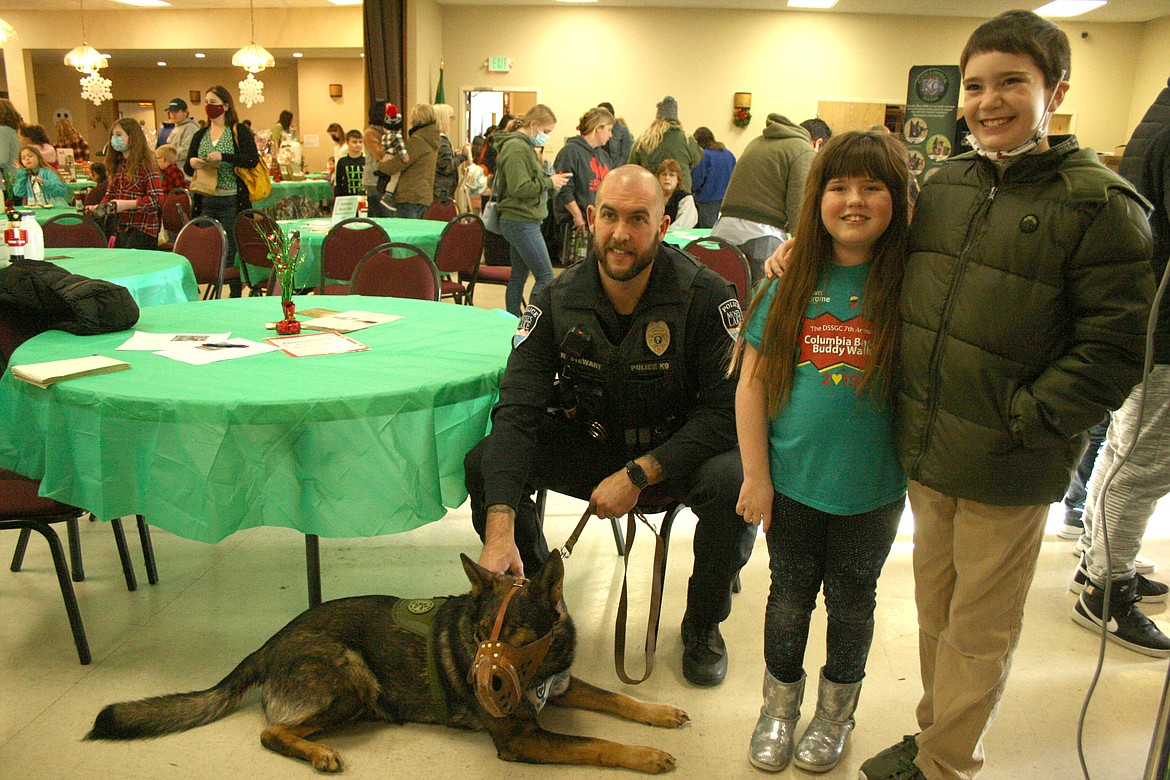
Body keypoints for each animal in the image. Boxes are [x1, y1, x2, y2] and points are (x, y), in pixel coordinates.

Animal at [86, 554, 687, 776]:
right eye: (479, 634)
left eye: (514, 632)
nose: (482, 686)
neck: (538, 670)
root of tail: (270, 642)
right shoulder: (520, 739)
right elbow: (596, 742)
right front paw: (646, 754)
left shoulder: (558, 688)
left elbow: (616, 697)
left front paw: (659, 715)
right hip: (351, 677)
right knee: (272, 731)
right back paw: (318, 752)